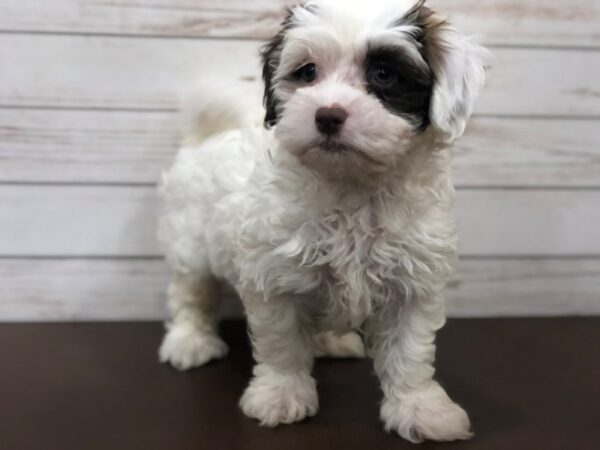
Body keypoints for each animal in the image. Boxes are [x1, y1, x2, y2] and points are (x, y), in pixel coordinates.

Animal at [158, 0, 488, 442]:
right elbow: (281, 343)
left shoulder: (412, 282)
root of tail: (206, 138)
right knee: (191, 291)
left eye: (384, 74)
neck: (352, 187)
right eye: (308, 72)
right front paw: (280, 395)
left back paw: (330, 340)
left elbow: (410, 351)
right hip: (189, 239)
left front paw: (421, 408)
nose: (328, 115)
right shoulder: (275, 276)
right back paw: (190, 341)